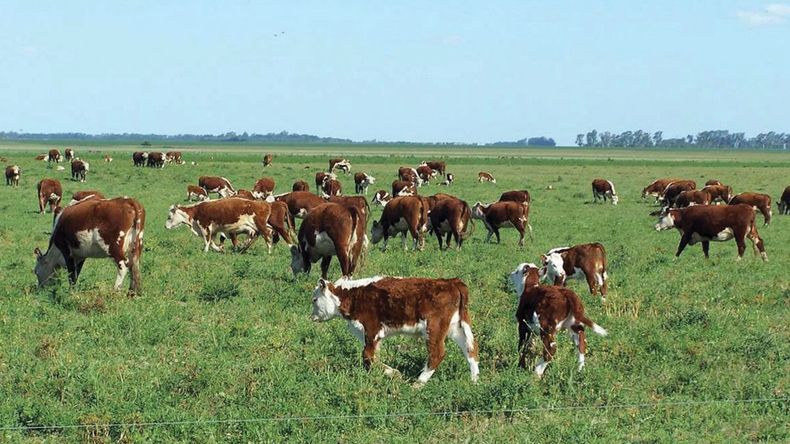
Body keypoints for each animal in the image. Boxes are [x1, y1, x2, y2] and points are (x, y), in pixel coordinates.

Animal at [309, 276, 478, 385]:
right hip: (456, 327)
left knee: (437, 353)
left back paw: (418, 383)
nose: (312, 317)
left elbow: (367, 356)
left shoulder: (372, 329)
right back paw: (474, 381)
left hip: (434, 328)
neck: (353, 296)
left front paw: (395, 374)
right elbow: (373, 356)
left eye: (314, 300)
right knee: (470, 349)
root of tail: (452, 282)